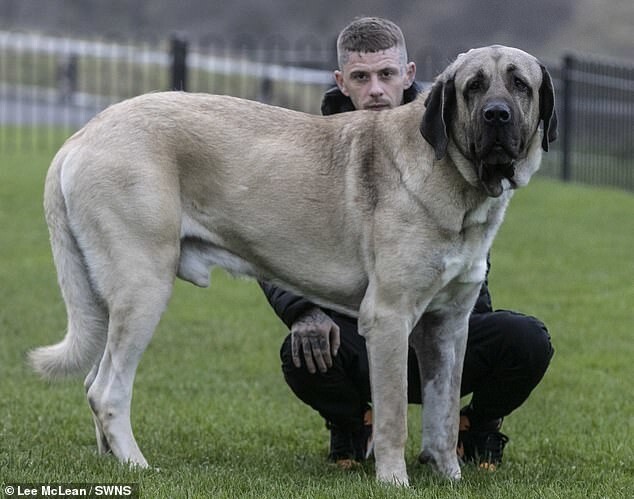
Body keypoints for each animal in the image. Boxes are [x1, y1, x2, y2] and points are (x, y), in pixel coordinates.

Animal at [30, 46, 552, 484]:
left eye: (519, 84)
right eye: (473, 86)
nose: (497, 114)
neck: (459, 185)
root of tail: (81, 136)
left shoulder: (448, 325)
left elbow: (442, 415)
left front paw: (450, 477)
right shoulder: (389, 318)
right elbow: (394, 418)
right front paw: (394, 481)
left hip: (115, 299)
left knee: (93, 381)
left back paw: (111, 461)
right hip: (143, 288)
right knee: (108, 391)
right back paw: (138, 465)